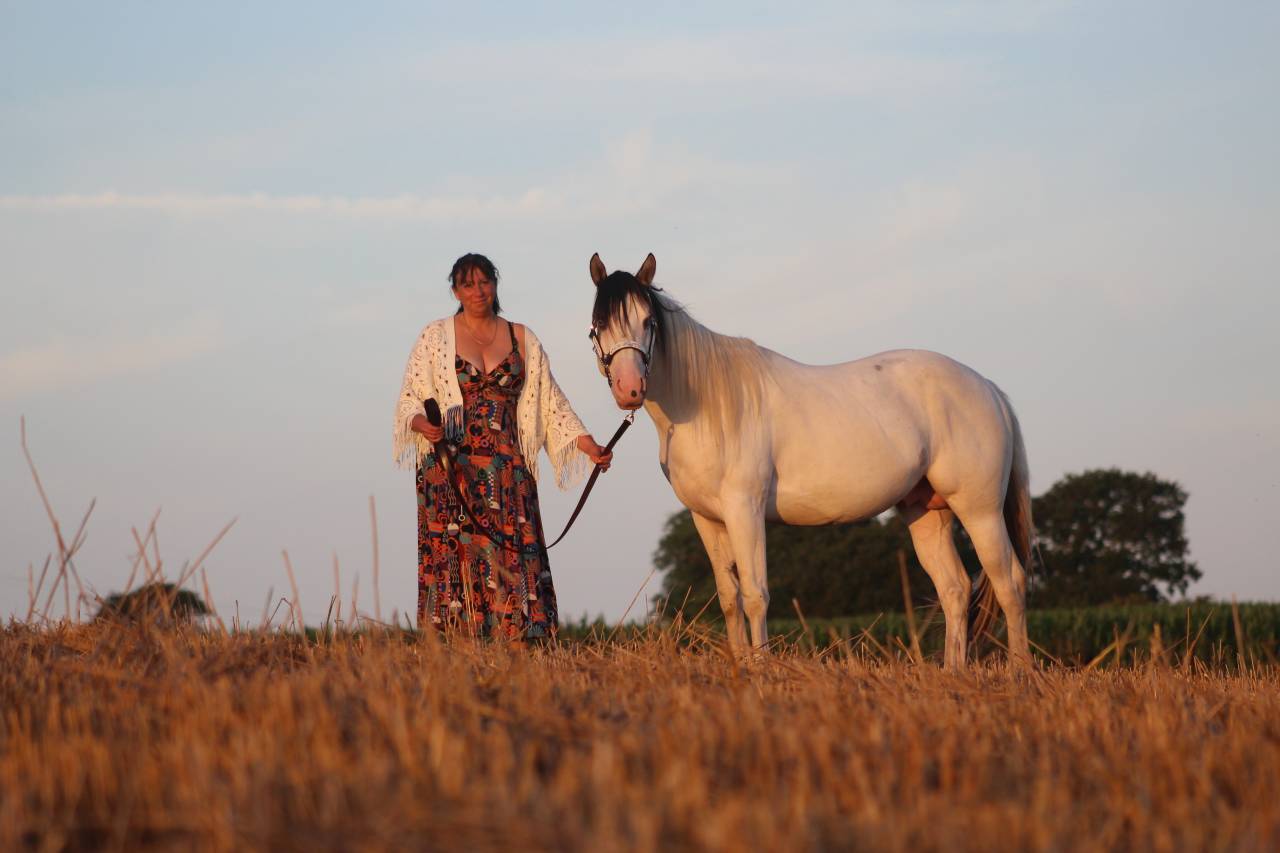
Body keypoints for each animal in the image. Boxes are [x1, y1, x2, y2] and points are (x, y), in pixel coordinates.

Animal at [587, 252, 1032, 669]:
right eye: (599, 324)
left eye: (648, 321)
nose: (630, 389)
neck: (708, 407)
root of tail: (988, 388)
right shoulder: (707, 519)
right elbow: (730, 598)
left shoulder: (744, 510)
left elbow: (755, 594)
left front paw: (761, 667)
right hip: (927, 512)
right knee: (955, 589)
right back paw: (953, 672)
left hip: (979, 510)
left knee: (1009, 583)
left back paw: (1019, 671)